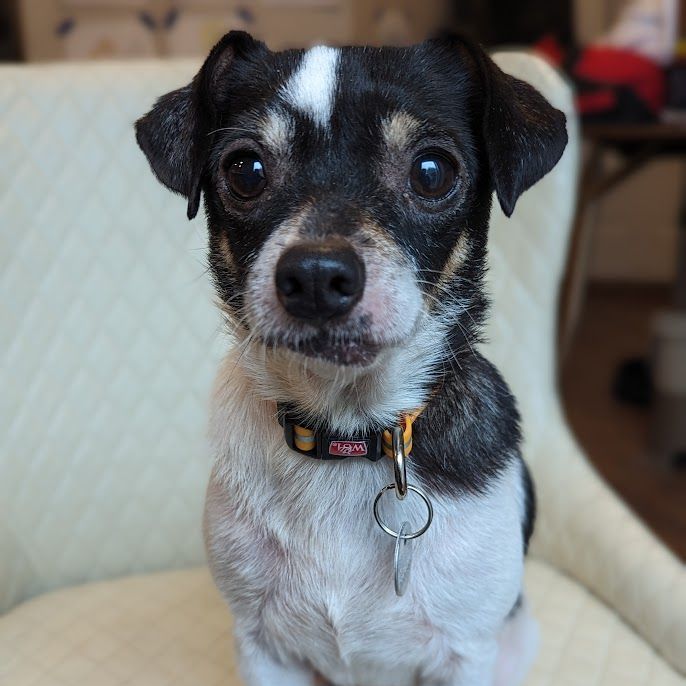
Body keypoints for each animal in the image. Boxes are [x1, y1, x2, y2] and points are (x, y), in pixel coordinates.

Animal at [136, 30, 568, 686]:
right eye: (245, 170)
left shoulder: (467, 653)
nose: (316, 275)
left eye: (433, 171)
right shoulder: (263, 648)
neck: (348, 429)